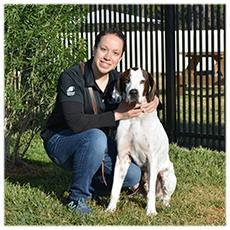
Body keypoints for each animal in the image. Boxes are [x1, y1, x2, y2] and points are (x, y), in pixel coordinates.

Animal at [107, 67, 177, 216]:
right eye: (127, 80)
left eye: (142, 81)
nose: (133, 92)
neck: (136, 118)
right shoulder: (122, 157)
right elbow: (115, 188)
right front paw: (110, 208)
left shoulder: (152, 158)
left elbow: (151, 193)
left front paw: (151, 211)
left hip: (167, 175)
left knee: (164, 196)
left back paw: (164, 205)